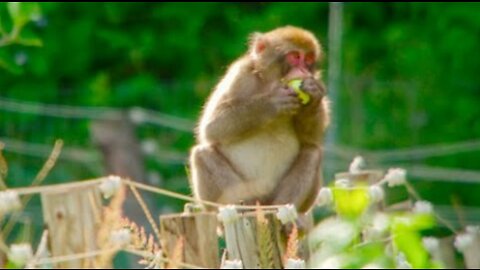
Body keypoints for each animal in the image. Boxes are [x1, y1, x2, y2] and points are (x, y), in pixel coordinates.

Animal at [189, 25, 328, 215]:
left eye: (308, 59)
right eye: (295, 56)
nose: (304, 71)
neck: (269, 83)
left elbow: (311, 139)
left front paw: (314, 95)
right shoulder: (240, 74)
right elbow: (211, 128)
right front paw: (272, 103)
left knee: (312, 152)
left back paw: (283, 210)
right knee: (202, 154)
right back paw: (244, 208)